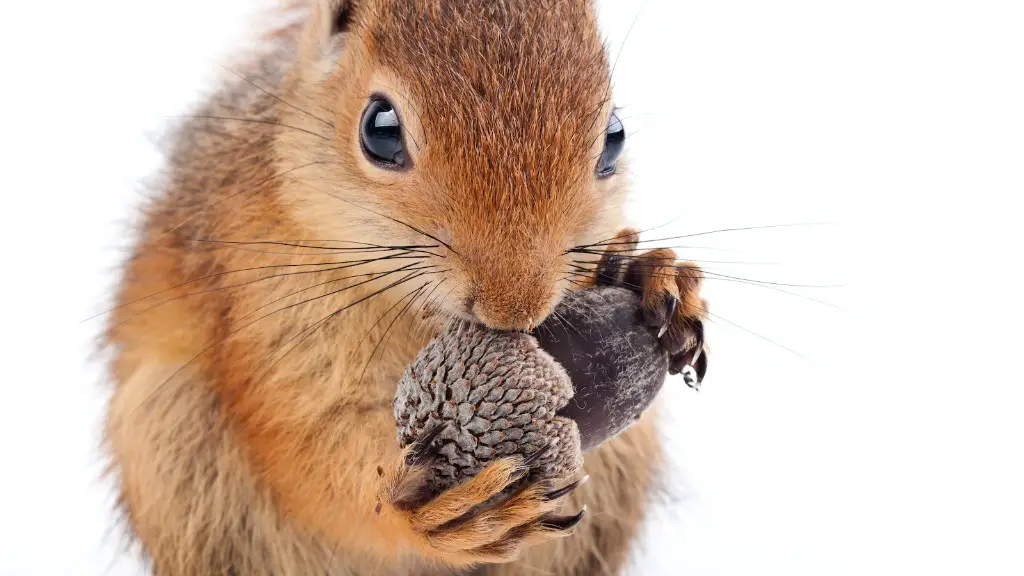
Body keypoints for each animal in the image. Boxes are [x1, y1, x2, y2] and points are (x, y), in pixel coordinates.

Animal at [103, 2, 708, 569]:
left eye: (614, 137)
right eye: (380, 128)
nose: (516, 306)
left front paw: (653, 275)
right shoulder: (258, 311)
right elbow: (304, 445)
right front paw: (420, 512)